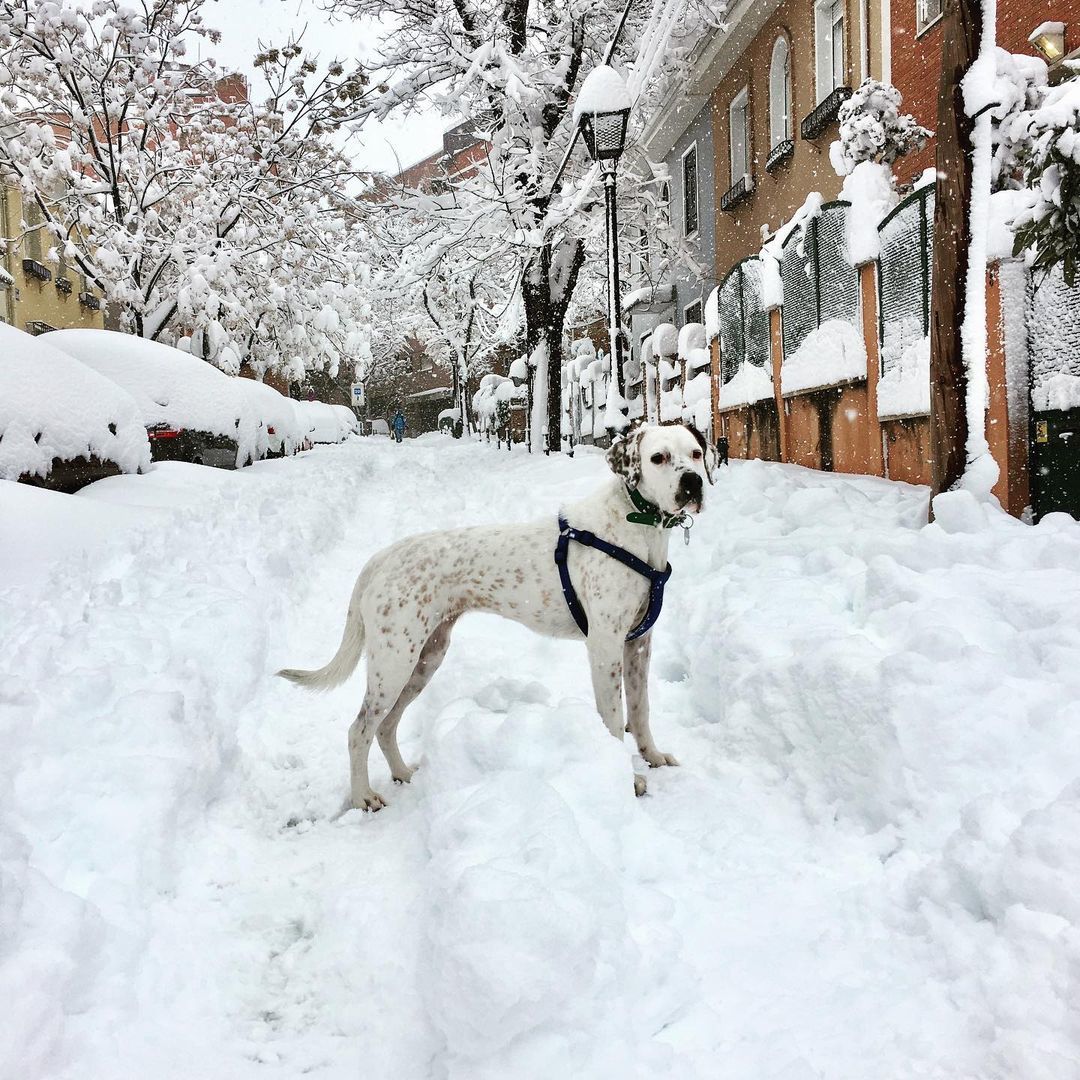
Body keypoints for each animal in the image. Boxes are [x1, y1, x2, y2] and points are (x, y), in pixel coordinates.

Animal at [282, 421, 712, 812]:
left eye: (695, 453)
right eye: (657, 458)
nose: (693, 483)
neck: (636, 526)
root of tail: (382, 557)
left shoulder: (637, 644)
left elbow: (640, 710)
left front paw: (652, 756)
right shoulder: (605, 645)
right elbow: (612, 718)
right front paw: (628, 780)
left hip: (425, 658)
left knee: (386, 725)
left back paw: (403, 773)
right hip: (393, 661)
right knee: (359, 729)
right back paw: (363, 797)